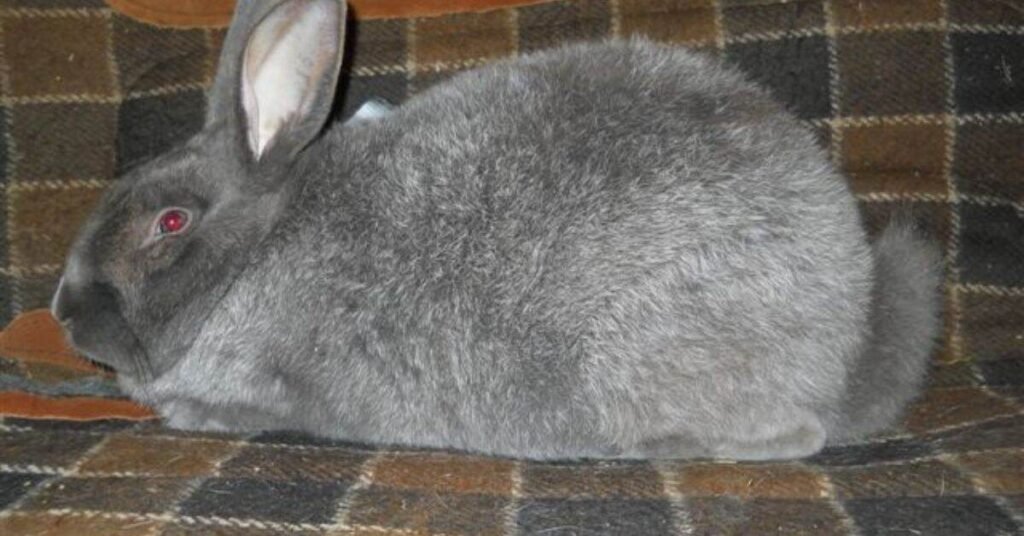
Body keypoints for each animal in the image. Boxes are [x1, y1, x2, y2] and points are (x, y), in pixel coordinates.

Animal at [50, 0, 942, 460]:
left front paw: (186, 416)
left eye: (170, 222)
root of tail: (852, 329)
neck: (255, 258)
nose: (61, 312)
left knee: (797, 435)